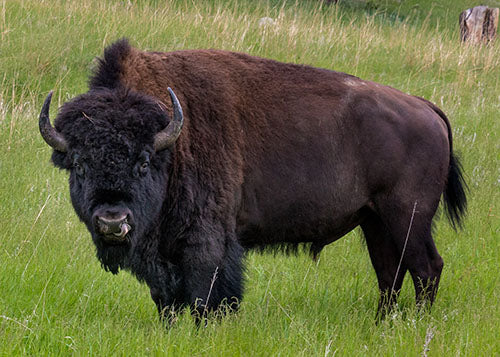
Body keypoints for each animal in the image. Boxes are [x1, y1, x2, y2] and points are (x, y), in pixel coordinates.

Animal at [38, 38, 464, 320]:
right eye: (79, 163)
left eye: (143, 162)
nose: (112, 221)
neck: (171, 140)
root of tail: (425, 107)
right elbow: (166, 299)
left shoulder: (207, 241)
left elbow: (206, 292)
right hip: (374, 220)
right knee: (390, 272)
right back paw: (381, 324)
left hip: (408, 217)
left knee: (426, 268)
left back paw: (415, 324)